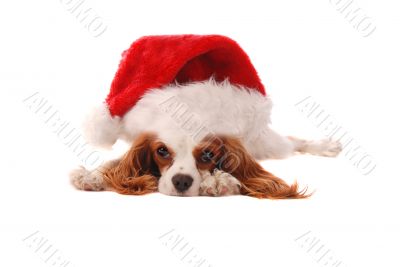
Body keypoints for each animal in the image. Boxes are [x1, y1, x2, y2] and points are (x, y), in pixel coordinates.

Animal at [69, 79, 340, 199]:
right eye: (162, 151)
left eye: (208, 154)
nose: (181, 182)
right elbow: (116, 164)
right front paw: (93, 175)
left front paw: (217, 181)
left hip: (265, 142)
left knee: (292, 142)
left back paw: (325, 146)